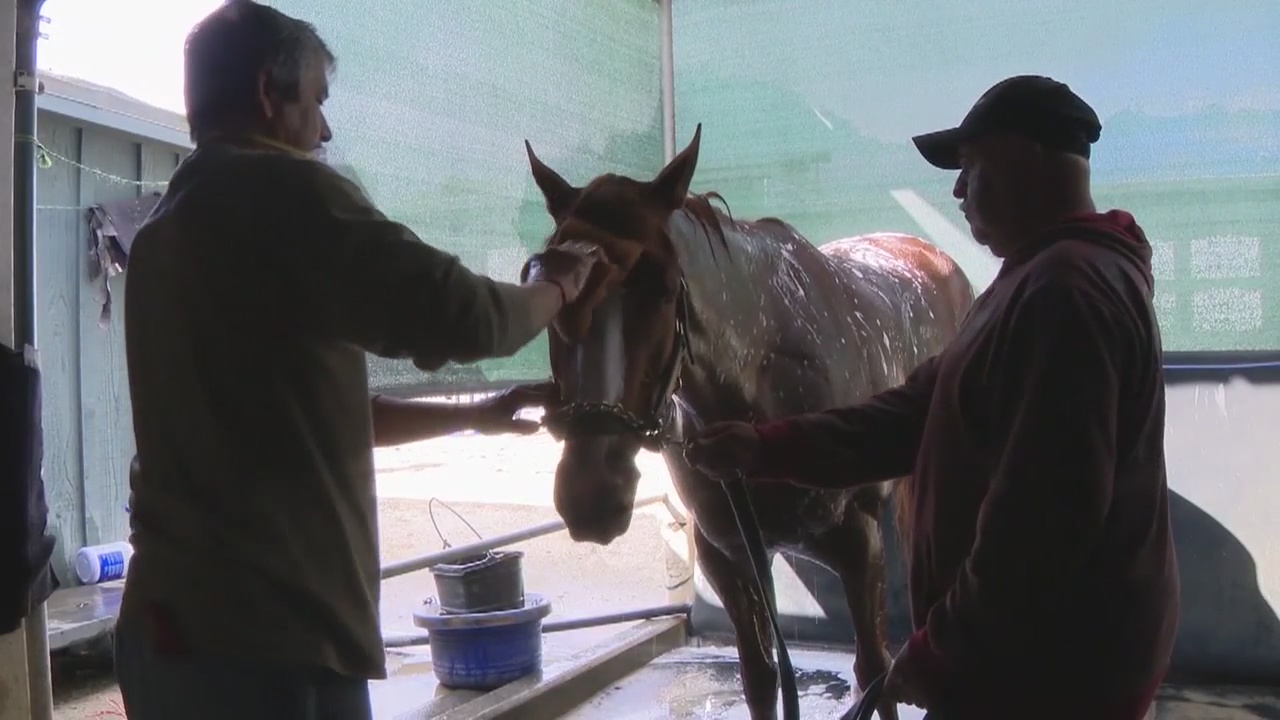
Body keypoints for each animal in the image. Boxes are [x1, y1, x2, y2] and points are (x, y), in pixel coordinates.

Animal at [524, 125, 974, 720]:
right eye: (551, 290)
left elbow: (875, 670)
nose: (592, 495)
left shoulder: (859, 547)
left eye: (663, 288)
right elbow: (761, 676)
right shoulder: (731, 555)